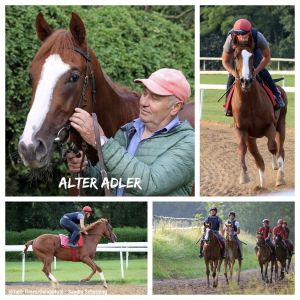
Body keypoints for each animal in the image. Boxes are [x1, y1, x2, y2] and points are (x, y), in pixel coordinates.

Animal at [231, 34, 288, 189]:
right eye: (236, 56)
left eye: (251, 56)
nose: (245, 81)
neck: (250, 102)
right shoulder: (243, 130)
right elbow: (243, 150)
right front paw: (244, 176)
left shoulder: (270, 125)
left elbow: (272, 146)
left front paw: (275, 165)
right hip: (252, 137)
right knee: (258, 158)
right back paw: (261, 185)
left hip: (281, 124)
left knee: (280, 149)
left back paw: (280, 176)